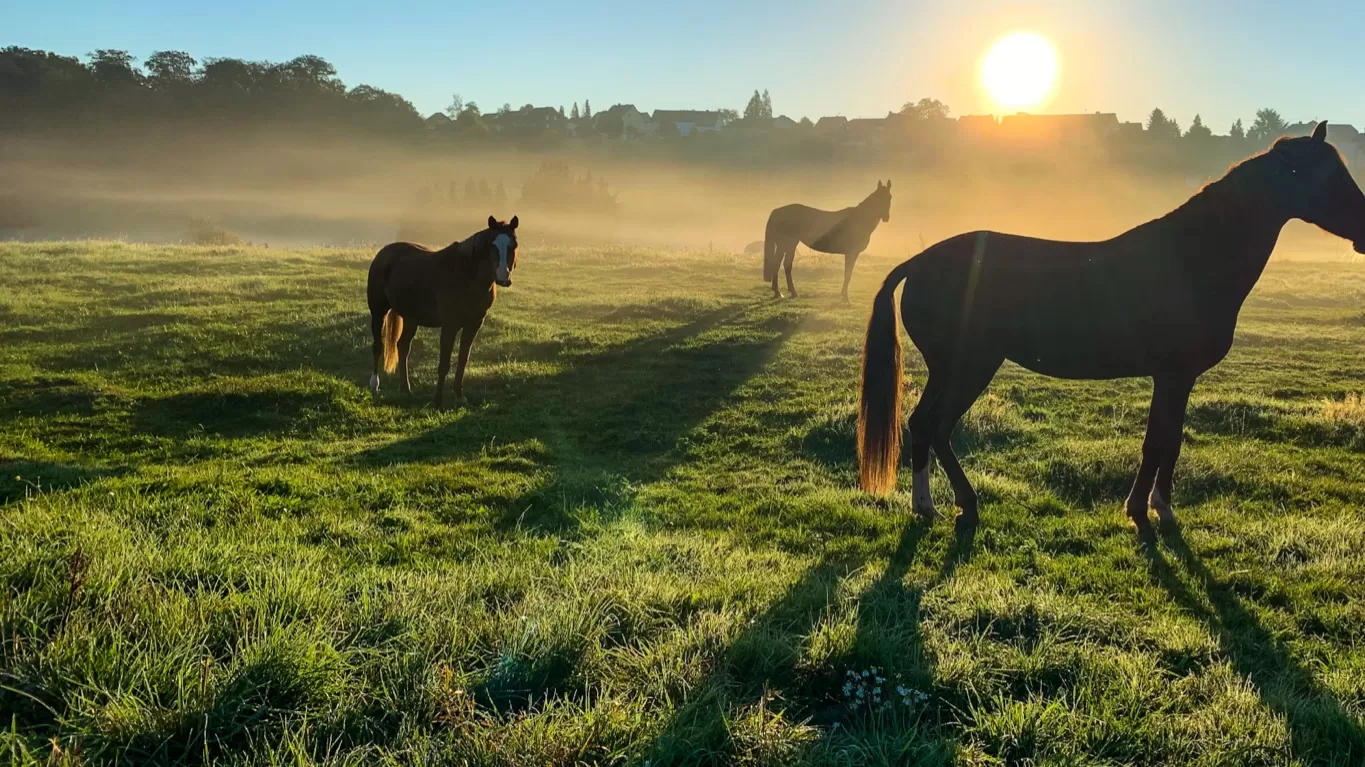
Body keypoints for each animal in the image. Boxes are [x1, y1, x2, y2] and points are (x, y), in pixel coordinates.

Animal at [365, 212, 518, 406]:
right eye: (492, 246)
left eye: (513, 245)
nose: (503, 278)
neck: (467, 276)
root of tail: (383, 254)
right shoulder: (449, 325)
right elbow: (444, 363)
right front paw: (437, 401)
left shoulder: (474, 324)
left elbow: (462, 360)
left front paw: (460, 396)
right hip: (378, 311)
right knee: (378, 345)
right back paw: (374, 385)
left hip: (411, 318)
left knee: (403, 346)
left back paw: (406, 389)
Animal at [857, 124, 1365, 532]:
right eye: (1325, 176)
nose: (1364, 228)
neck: (1190, 259)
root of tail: (921, 261)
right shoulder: (1173, 375)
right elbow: (1158, 442)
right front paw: (1148, 510)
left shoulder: (1176, 378)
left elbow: (1167, 440)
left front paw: (1155, 506)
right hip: (968, 367)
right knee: (934, 426)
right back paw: (952, 503)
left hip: (950, 369)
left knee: (924, 426)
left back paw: (932, 505)